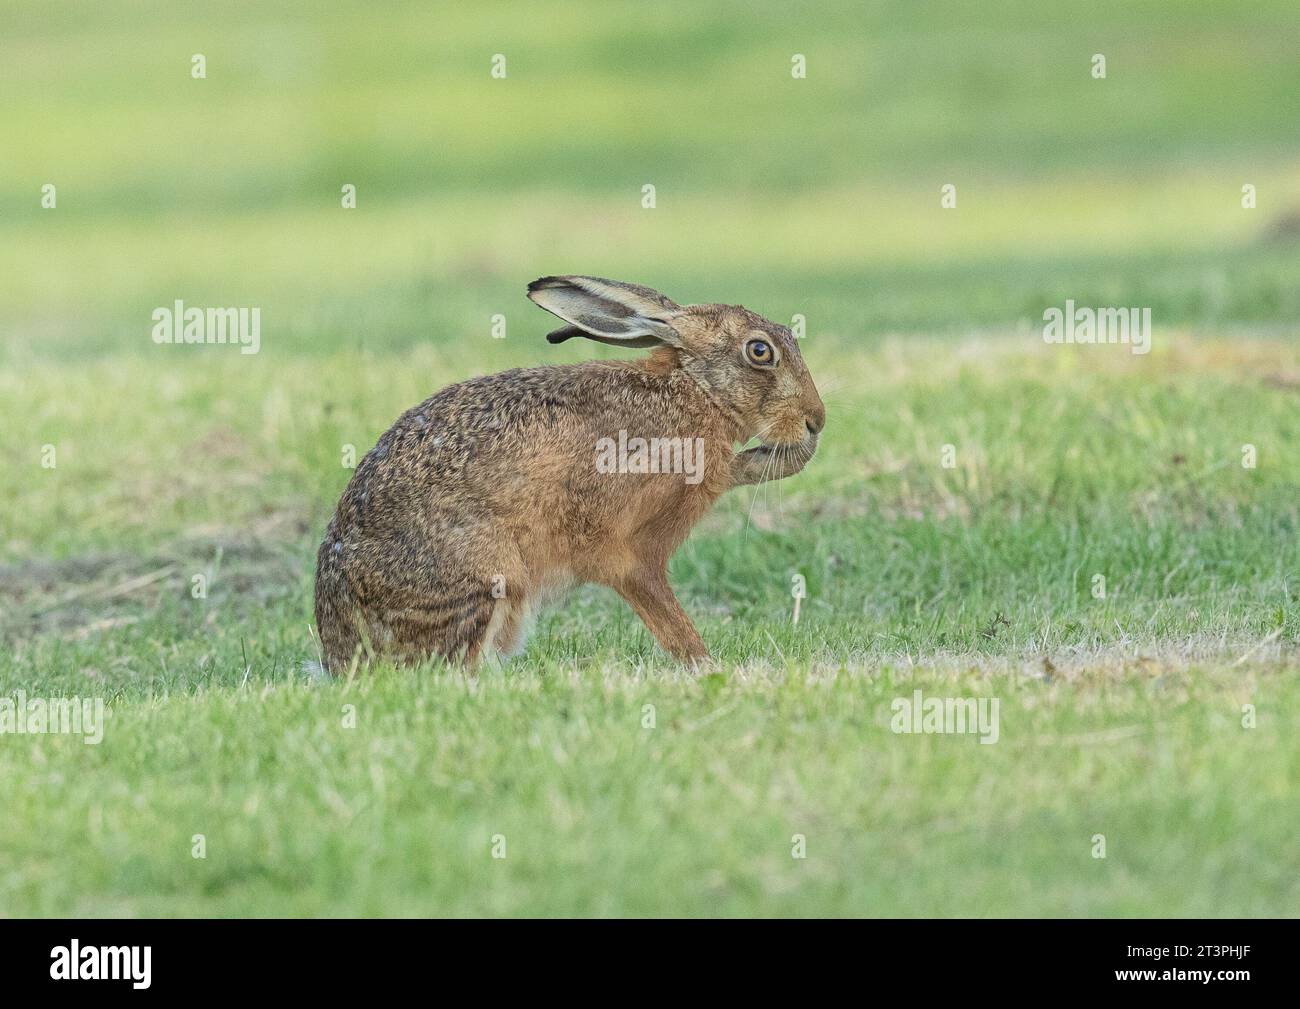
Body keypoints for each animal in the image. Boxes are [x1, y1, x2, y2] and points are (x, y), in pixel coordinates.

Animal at [313, 275, 825, 672]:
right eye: (759, 351)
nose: (816, 421)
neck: (693, 391)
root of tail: (338, 652)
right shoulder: (633, 553)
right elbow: (665, 612)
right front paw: (704, 663)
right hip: (482, 578)